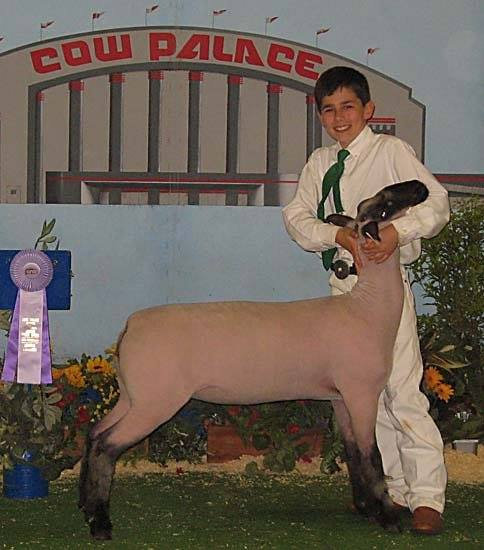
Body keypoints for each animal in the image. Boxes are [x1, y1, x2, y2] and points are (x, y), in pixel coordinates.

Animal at [79, 179, 429, 540]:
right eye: (384, 206)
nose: (420, 186)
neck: (367, 308)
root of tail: (131, 325)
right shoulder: (361, 392)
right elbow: (372, 455)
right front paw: (388, 516)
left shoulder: (341, 397)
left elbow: (353, 451)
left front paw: (365, 508)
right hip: (156, 400)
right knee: (107, 444)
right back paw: (100, 523)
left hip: (133, 395)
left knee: (95, 433)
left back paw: (87, 507)